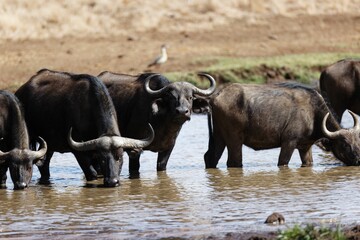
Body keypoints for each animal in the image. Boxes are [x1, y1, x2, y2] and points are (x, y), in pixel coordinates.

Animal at [15, 68, 153, 187]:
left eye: (120, 157)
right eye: (103, 159)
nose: (112, 181)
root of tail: (20, 92)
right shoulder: (78, 150)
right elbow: (92, 174)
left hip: (49, 145)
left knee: (43, 164)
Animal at [204, 81, 360, 168]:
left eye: (359, 141)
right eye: (345, 144)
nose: (358, 159)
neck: (313, 112)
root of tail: (216, 97)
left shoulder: (305, 147)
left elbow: (308, 163)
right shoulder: (289, 142)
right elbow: (282, 162)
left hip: (219, 138)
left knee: (210, 157)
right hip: (234, 140)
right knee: (234, 162)